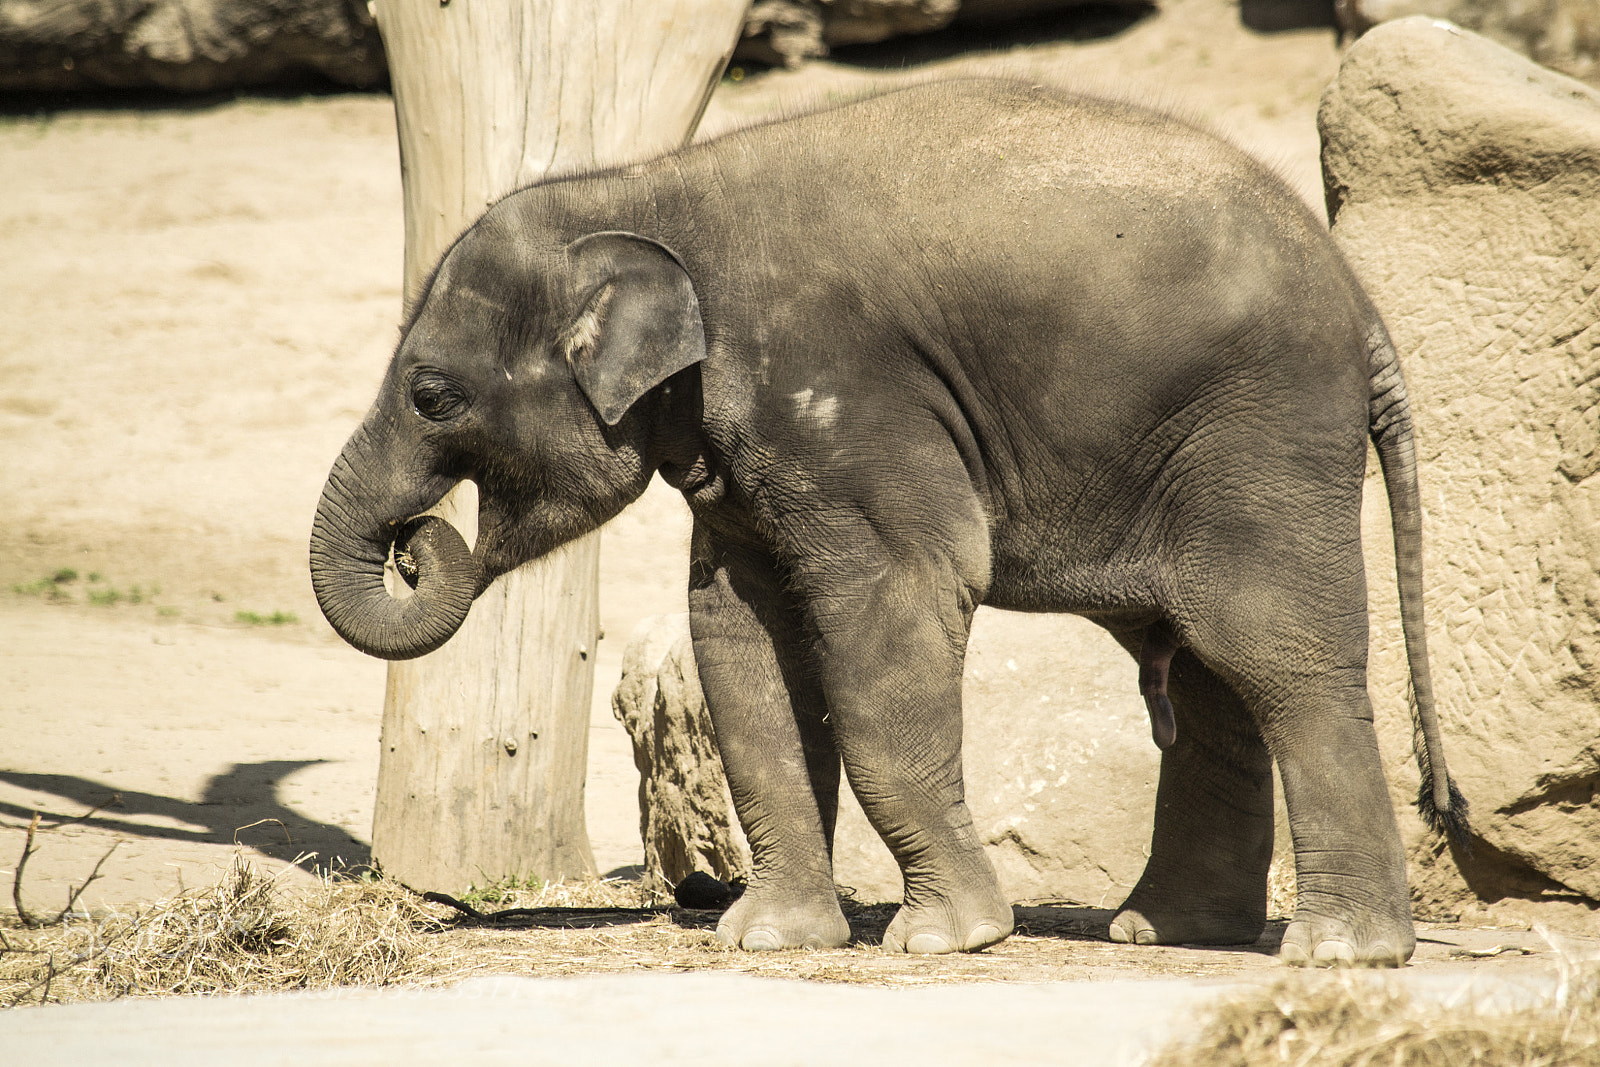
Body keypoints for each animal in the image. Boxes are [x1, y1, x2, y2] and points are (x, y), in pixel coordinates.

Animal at [310, 78, 1469, 965]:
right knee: (1209, 672)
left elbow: (890, 615)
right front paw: (768, 940)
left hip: (1258, 437)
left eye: (431, 396)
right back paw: (1166, 931)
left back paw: (1340, 951)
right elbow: (742, 647)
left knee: (1271, 650)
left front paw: (947, 939)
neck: (646, 188)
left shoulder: (852, 400)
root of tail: (1363, 309)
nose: (418, 540)